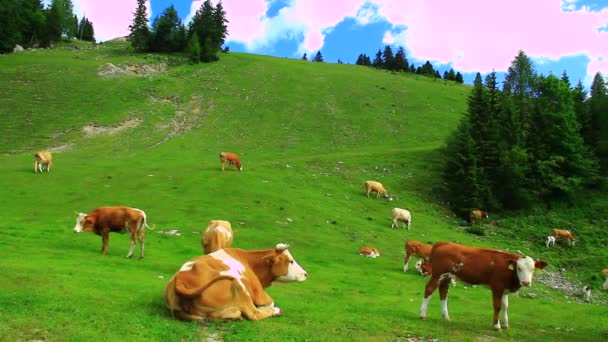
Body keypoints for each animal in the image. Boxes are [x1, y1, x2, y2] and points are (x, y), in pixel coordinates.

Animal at [165, 243, 308, 320]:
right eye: (290, 261)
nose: (306, 274)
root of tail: (180, 280)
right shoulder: (258, 291)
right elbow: (268, 303)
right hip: (240, 286)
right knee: (254, 313)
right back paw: (276, 311)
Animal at [420, 242, 548, 330]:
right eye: (519, 268)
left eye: (532, 269)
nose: (526, 282)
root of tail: (444, 243)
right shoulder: (497, 287)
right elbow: (498, 306)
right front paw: (497, 326)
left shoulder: (504, 289)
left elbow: (505, 306)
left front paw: (506, 324)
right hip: (438, 274)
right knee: (429, 289)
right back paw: (422, 315)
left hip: (447, 277)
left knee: (443, 293)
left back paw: (446, 317)